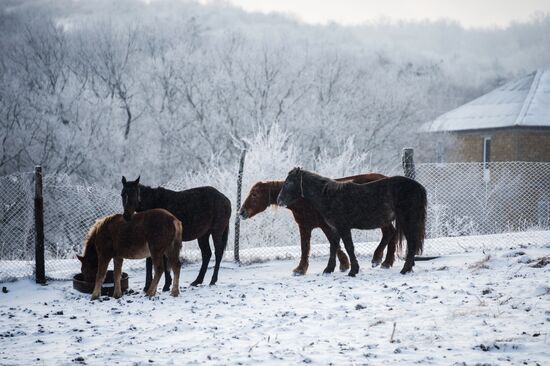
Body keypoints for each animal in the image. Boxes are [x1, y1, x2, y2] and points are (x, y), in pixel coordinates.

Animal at [239, 173, 398, 274]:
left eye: (254, 194)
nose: (241, 212)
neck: (304, 199)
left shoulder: (323, 226)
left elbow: (328, 244)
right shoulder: (308, 226)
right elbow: (314, 246)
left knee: (390, 233)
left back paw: (379, 259)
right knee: (391, 233)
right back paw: (386, 261)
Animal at [278, 168, 430, 274]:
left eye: (289, 182)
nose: (279, 200)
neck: (329, 196)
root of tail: (419, 187)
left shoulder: (343, 227)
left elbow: (349, 247)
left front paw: (353, 270)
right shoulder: (335, 229)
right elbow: (334, 246)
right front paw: (329, 269)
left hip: (407, 220)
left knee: (411, 243)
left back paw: (403, 269)